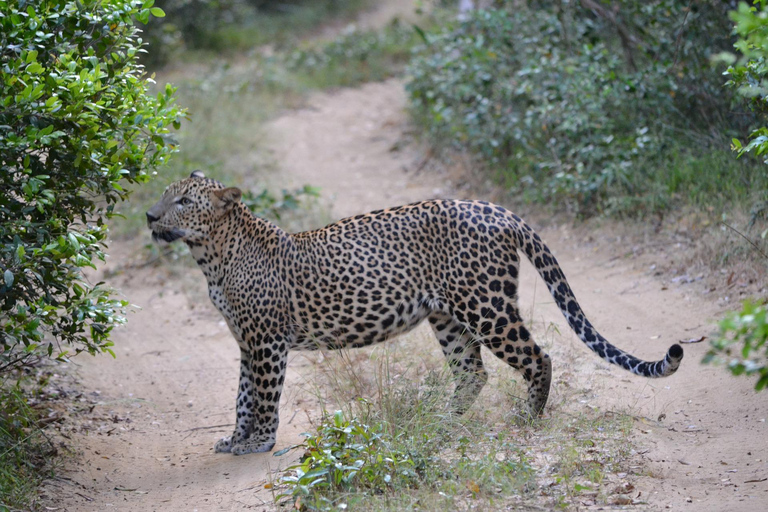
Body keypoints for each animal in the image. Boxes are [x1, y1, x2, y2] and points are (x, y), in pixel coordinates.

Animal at [146, 172, 684, 456]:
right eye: (164, 197)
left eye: (183, 201)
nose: (150, 216)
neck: (212, 257)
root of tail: (498, 209)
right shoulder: (246, 342)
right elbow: (241, 397)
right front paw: (234, 440)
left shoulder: (266, 343)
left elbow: (261, 397)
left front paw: (257, 443)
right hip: (447, 318)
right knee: (472, 374)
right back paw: (439, 423)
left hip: (485, 306)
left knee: (538, 357)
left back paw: (526, 419)